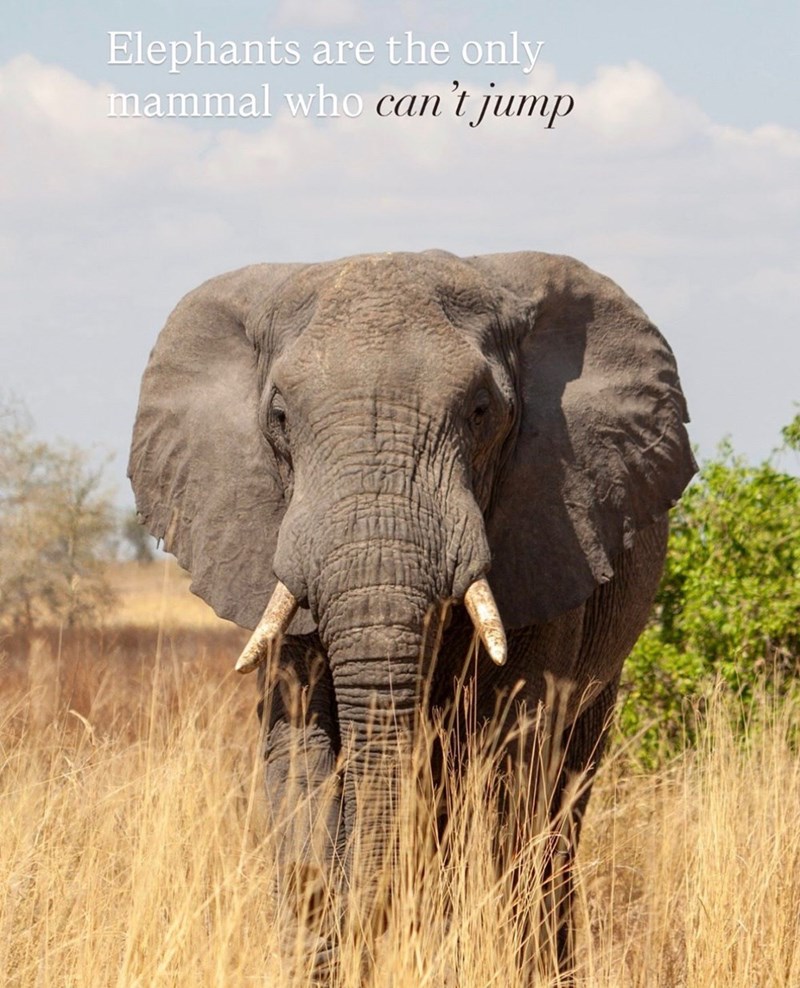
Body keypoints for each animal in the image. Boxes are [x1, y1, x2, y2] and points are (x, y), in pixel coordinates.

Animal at [128, 249, 694, 979]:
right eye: (279, 416)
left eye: (482, 411)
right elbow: (299, 754)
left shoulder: (551, 530)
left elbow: (507, 768)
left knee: (560, 802)